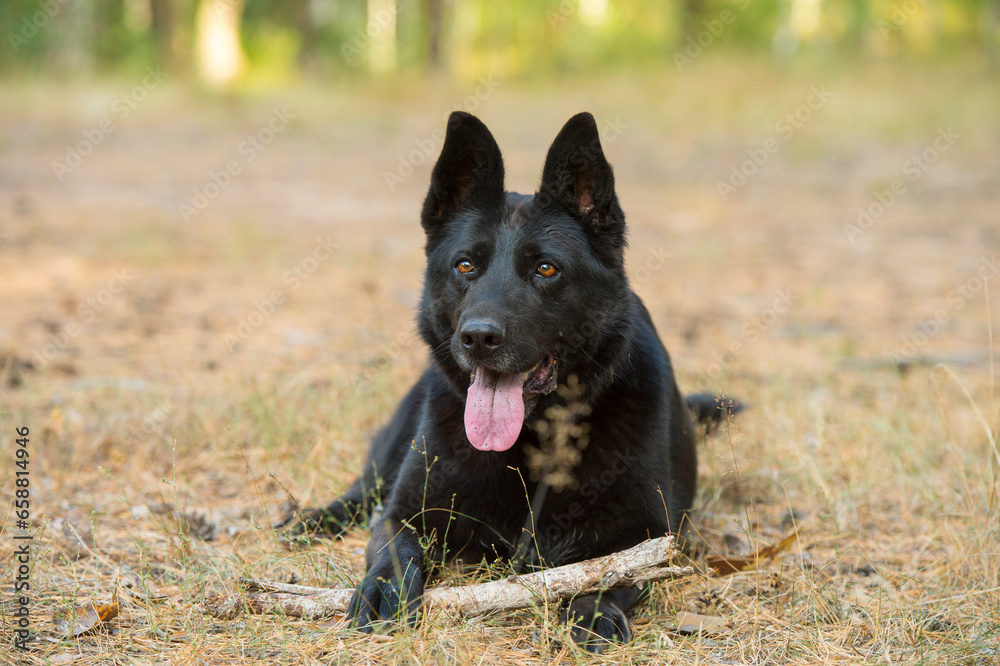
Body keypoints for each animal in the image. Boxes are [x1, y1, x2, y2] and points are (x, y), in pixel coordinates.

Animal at [286, 110, 732, 648]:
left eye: (546, 269)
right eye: (465, 265)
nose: (478, 337)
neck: (534, 440)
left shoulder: (648, 535)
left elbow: (616, 568)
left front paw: (594, 608)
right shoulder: (407, 515)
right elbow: (396, 551)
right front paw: (379, 590)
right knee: (363, 489)